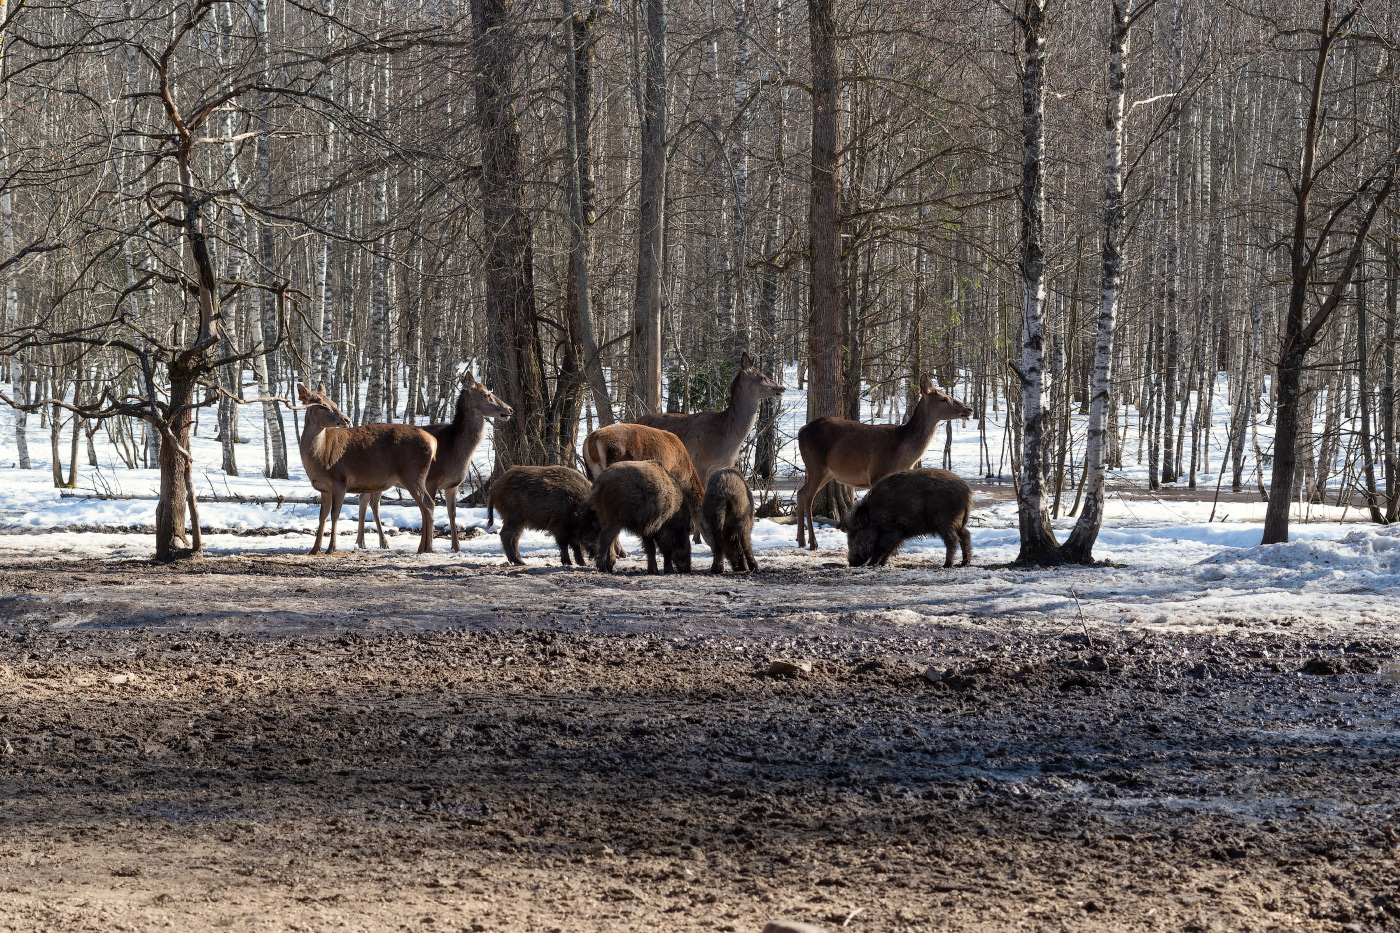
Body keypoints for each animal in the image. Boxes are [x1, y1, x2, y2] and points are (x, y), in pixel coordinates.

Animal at [289, 383, 431, 551]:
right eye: (322, 406)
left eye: (334, 403)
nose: (346, 419)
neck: (320, 458)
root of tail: (432, 441)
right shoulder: (324, 488)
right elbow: (322, 516)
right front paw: (314, 549)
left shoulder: (340, 481)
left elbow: (335, 514)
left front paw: (331, 548)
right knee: (423, 506)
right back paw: (422, 547)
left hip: (413, 474)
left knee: (428, 504)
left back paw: (426, 547)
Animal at [358, 367, 512, 549]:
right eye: (485, 393)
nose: (509, 409)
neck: (455, 450)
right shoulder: (430, 480)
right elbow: (427, 510)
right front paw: (425, 546)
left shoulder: (453, 485)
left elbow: (452, 513)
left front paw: (456, 547)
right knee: (372, 502)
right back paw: (377, 542)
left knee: (366, 499)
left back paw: (364, 542)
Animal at [795, 372, 968, 549]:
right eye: (943, 399)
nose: (968, 409)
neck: (902, 451)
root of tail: (801, 431)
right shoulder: (877, 473)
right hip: (816, 465)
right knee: (807, 496)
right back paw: (813, 542)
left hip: (828, 472)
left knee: (801, 493)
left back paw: (801, 540)